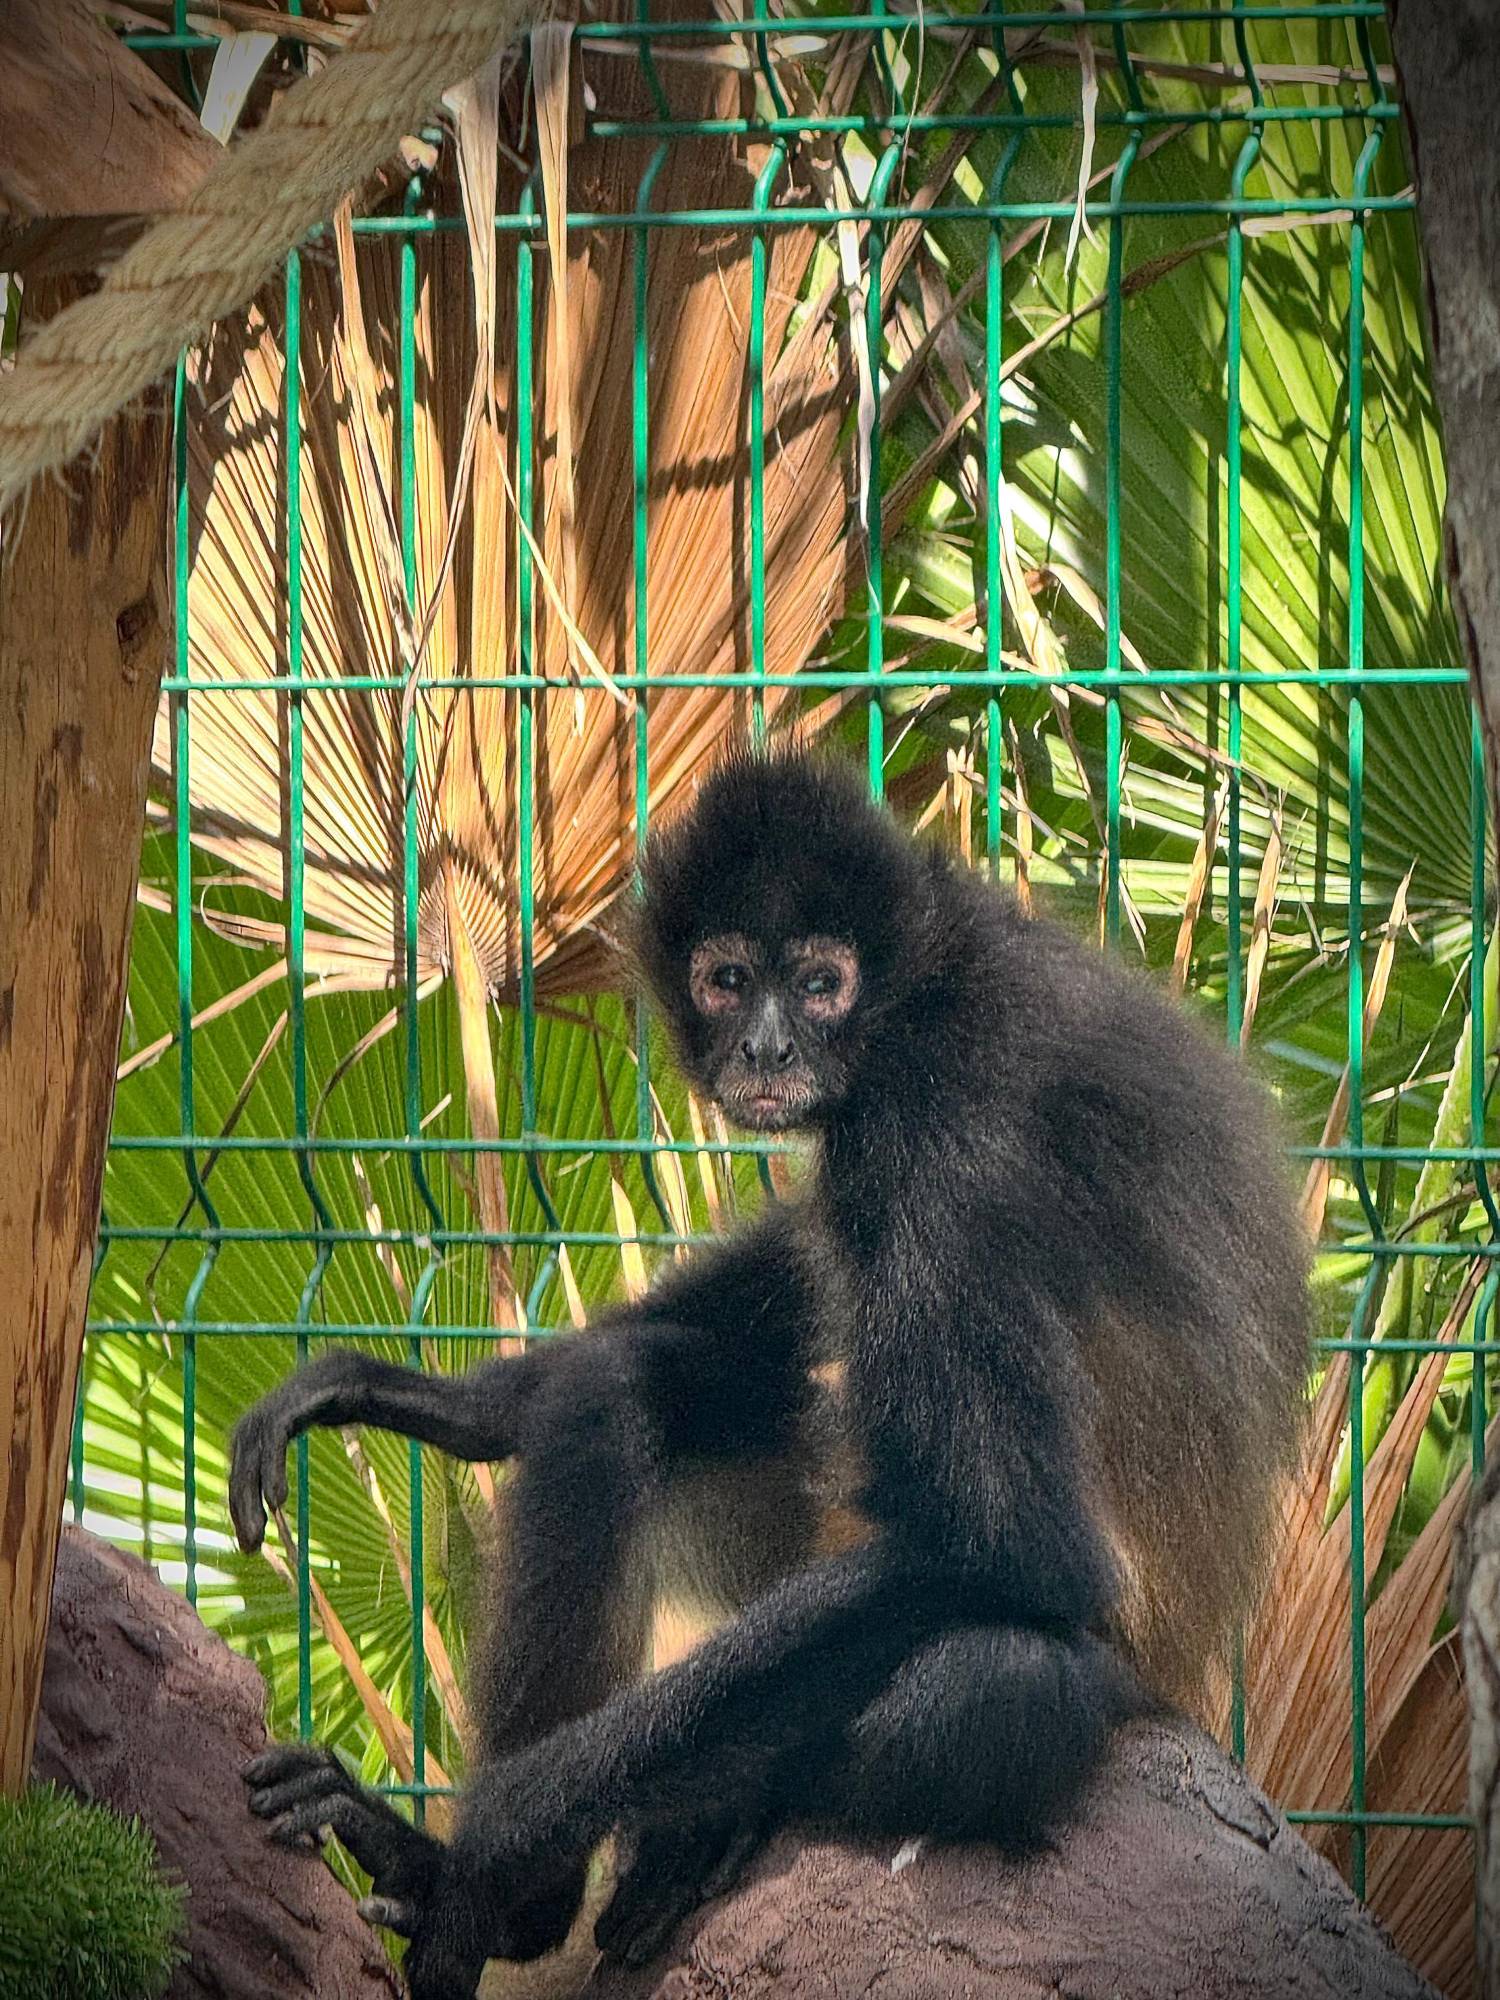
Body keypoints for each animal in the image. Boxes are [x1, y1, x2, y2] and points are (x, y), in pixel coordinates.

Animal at [228, 748, 1311, 2000]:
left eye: (822, 983)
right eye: (730, 979)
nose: (766, 1050)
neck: (930, 981)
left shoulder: (944, 1121)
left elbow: (1014, 1545)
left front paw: (491, 1840)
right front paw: (455, 1400)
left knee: (994, 1685)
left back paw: (569, 1874)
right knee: (620, 1389)